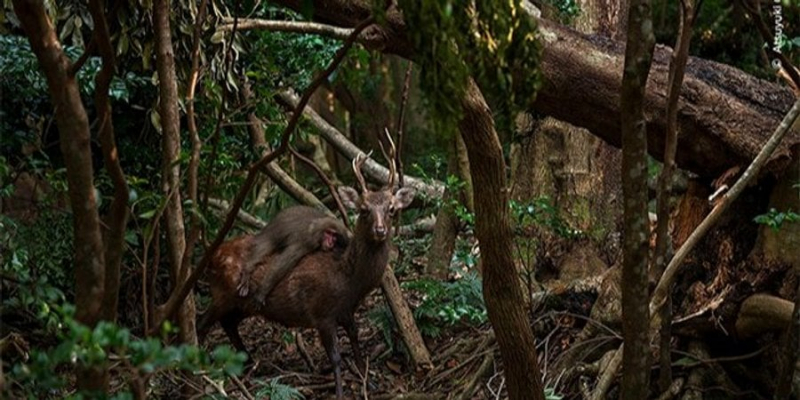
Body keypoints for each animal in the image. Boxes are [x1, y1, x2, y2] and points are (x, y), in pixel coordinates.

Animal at [197, 138, 416, 396]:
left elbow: (356, 345)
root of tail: (211, 256)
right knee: (201, 323)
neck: (349, 281)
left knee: (228, 323)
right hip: (221, 294)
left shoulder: (347, 311)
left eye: (392, 209)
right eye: (363, 209)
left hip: (242, 304)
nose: (380, 230)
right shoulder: (322, 313)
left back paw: (248, 363)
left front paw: (368, 383)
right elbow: (336, 357)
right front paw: (340, 392)